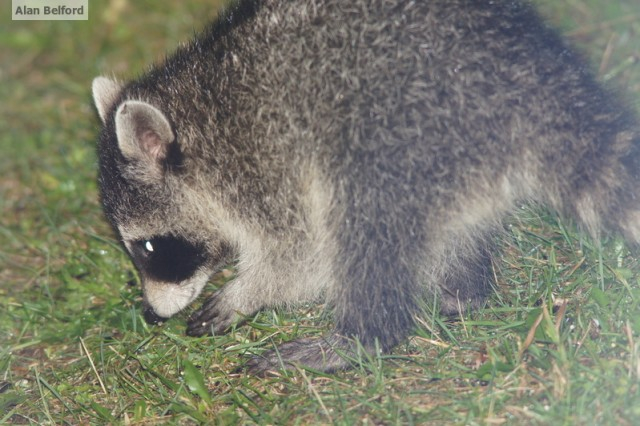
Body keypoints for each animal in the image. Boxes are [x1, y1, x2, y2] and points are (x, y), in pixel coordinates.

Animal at [92, 0, 640, 372]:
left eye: (148, 247)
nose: (151, 313)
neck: (198, 112)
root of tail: (530, 86)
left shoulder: (264, 161)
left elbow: (302, 253)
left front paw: (249, 291)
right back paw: (461, 292)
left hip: (394, 136)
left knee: (362, 232)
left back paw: (365, 335)